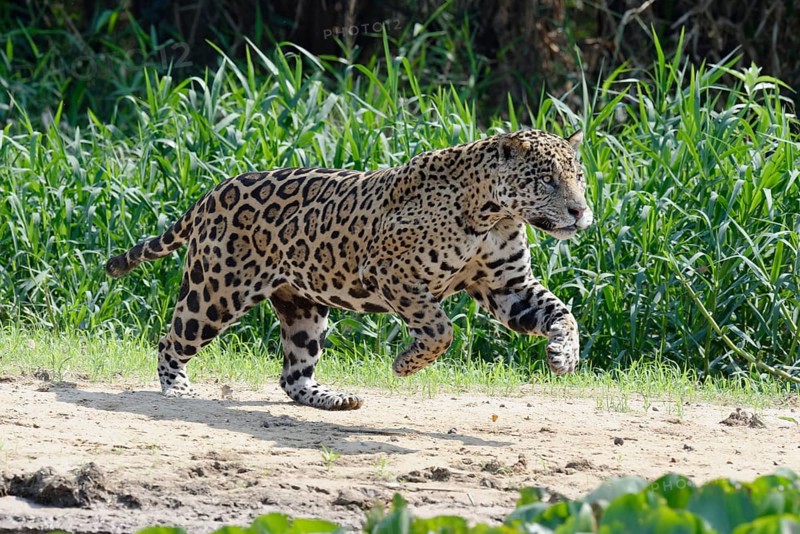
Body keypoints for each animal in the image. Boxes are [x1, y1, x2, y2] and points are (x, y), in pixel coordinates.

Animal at [105, 128, 593, 410]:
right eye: (545, 179)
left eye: (578, 176)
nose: (579, 211)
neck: (496, 215)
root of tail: (214, 190)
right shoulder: (391, 273)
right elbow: (441, 330)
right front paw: (405, 365)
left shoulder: (508, 286)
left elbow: (562, 313)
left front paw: (564, 356)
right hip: (215, 293)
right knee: (171, 339)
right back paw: (177, 387)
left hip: (302, 307)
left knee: (293, 373)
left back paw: (332, 399)